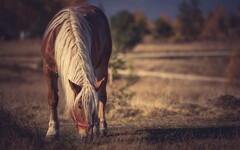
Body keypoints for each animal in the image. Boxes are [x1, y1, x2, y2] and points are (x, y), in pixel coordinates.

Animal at [41, 4, 111, 141]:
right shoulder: (48, 69)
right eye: (79, 105)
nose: (87, 136)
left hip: (102, 65)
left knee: (102, 95)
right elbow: (53, 98)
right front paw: (52, 131)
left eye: (93, 107)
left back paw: (101, 127)